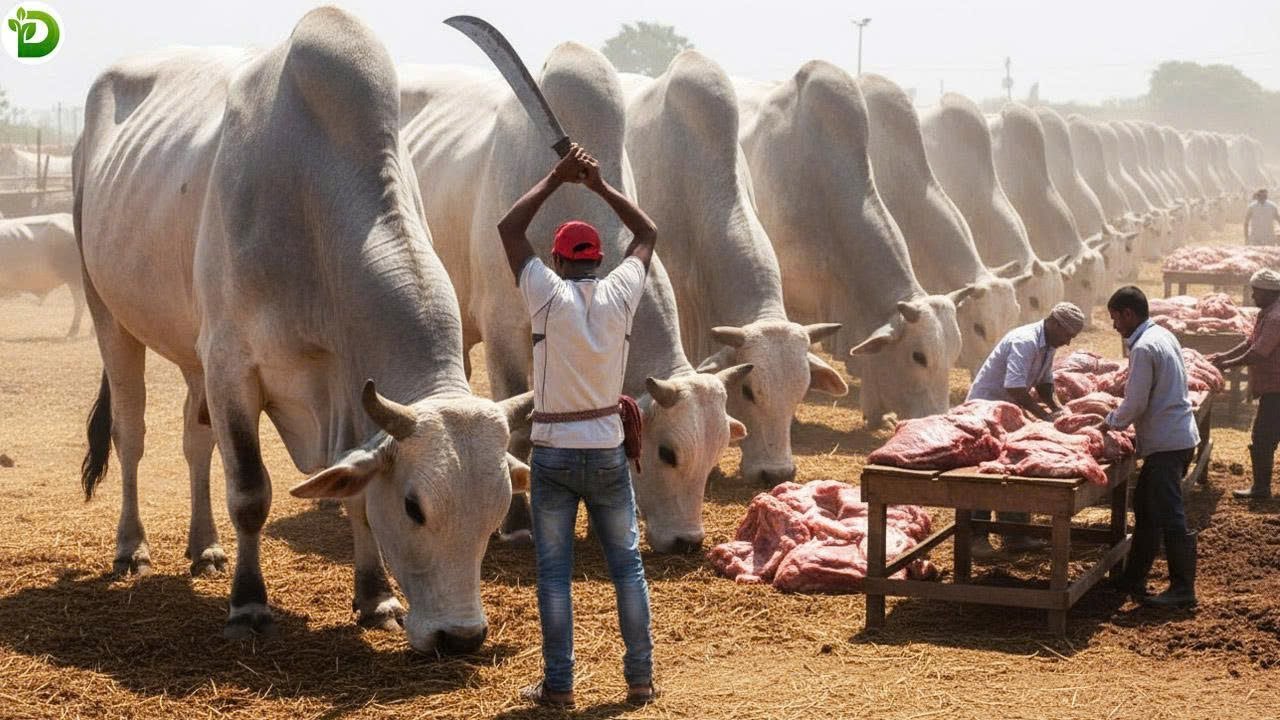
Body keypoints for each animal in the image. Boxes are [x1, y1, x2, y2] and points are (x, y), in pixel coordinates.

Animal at [74, 8, 534, 652]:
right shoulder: (233, 366)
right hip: (109, 316)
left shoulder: (343, 391)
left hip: (194, 356)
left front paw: (376, 597)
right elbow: (249, 490)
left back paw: (204, 546)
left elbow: (355, 495)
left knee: (195, 441)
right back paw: (132, 547)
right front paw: (248, 604)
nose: (461, 637)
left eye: (497, 512)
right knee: (130, 433)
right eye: (414, 507)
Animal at [400, 46, 750, 554]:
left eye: (719, 448)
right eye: (667, 452)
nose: (687, 541)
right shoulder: (504, 334)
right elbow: (519, 435)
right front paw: (518, 524)